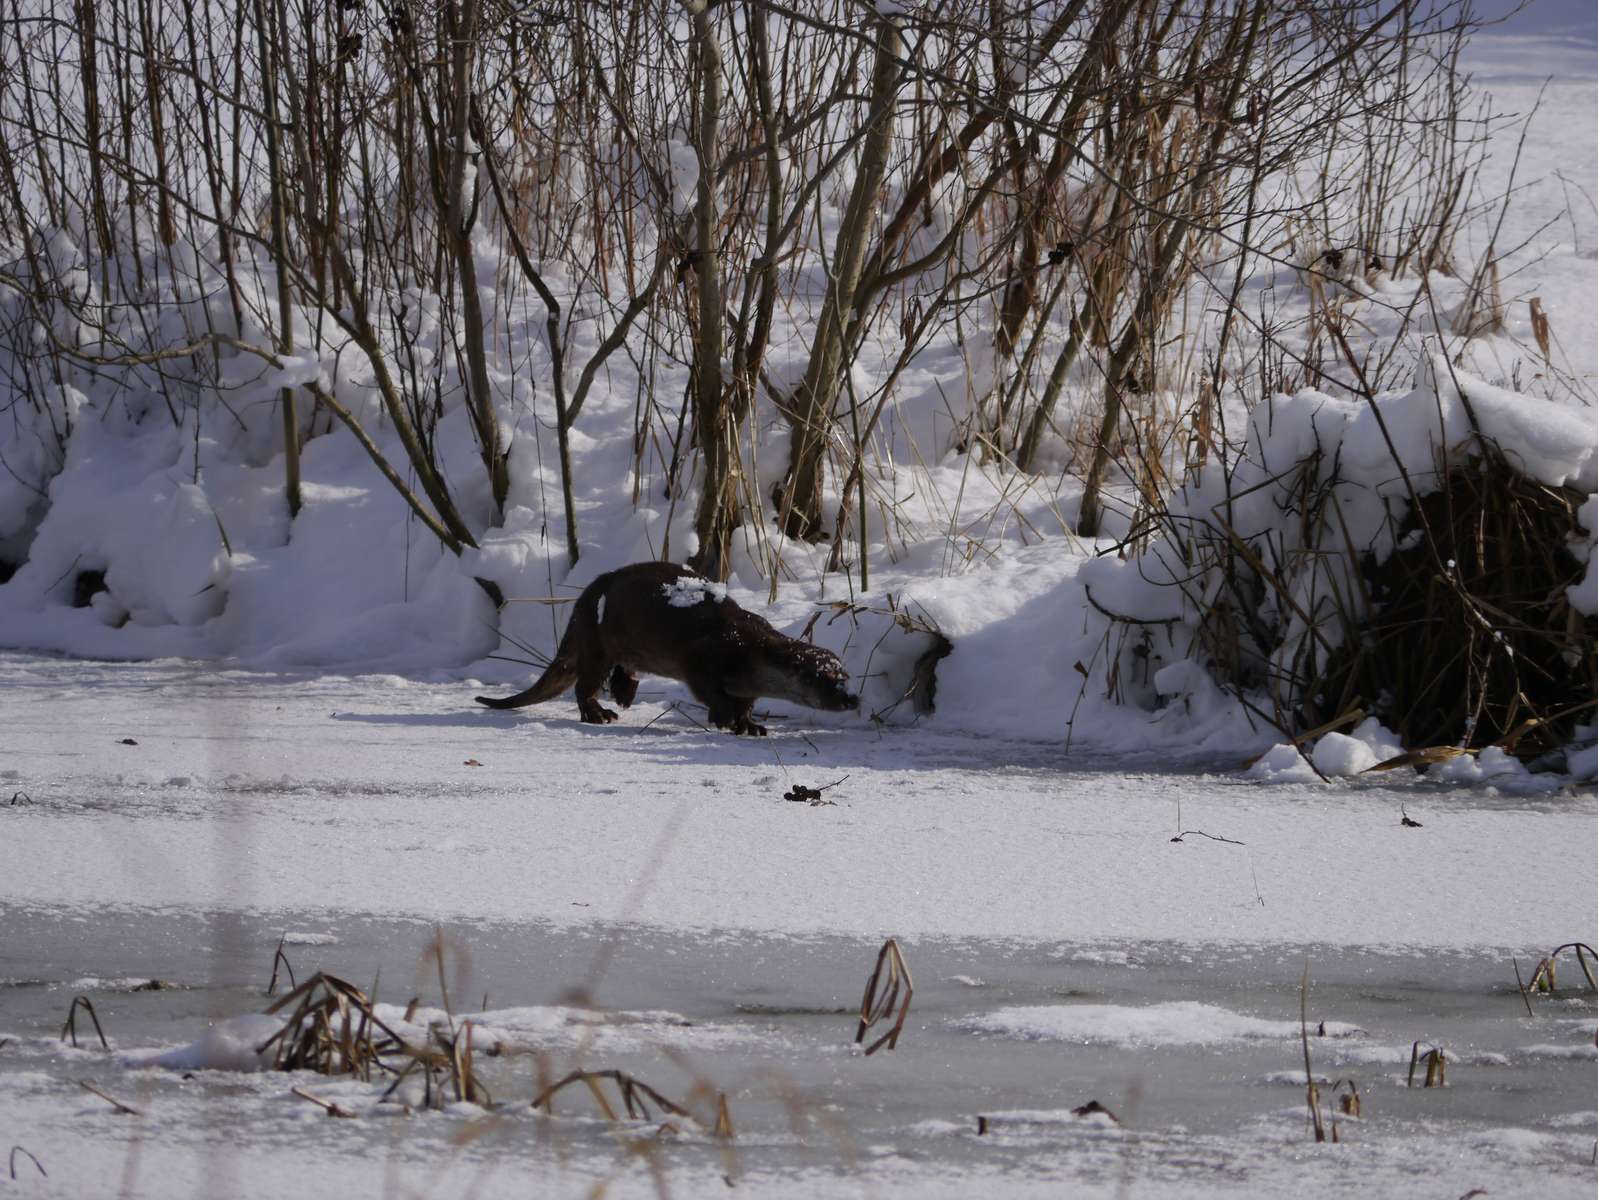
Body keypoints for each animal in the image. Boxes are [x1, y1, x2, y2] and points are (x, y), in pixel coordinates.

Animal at [476, 562, 862, 738]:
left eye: (847, 677)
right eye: (828, 680)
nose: (852, 698)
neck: (752, 654)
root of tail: (587, 595)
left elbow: (747, 703)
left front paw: (750, 723)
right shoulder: (704, 657)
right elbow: (708, 690)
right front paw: (725, 716)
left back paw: (625, 692)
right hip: (597, 641)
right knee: (584, 684)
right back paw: (599, 713)